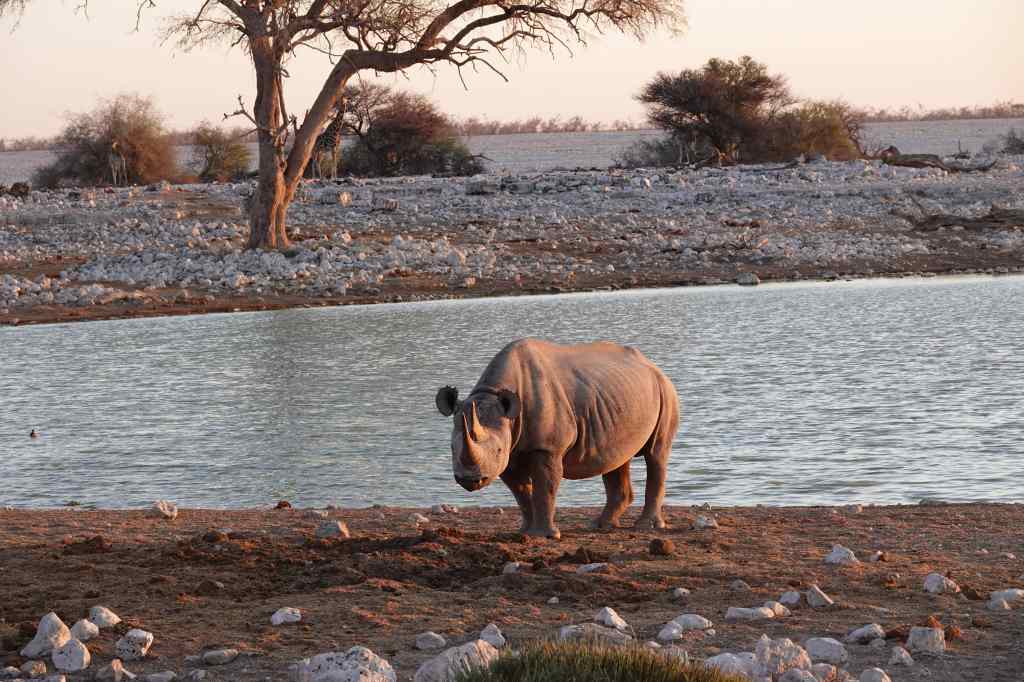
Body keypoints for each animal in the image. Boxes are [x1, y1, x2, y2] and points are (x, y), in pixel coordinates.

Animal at [435, 339, 679, 539]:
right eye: (451, 449)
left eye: (498, 451)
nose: (470, 480)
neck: (493, 393)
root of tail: (651, 365)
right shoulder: (509, 451)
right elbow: (521, 491)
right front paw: (524, 532)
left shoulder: (547, 448)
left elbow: (546, 486)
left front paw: (545, 535)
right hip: (619, 395)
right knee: (616, 458)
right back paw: (600, 525)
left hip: (665, 390)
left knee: (656, 454)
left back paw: (646, 526)